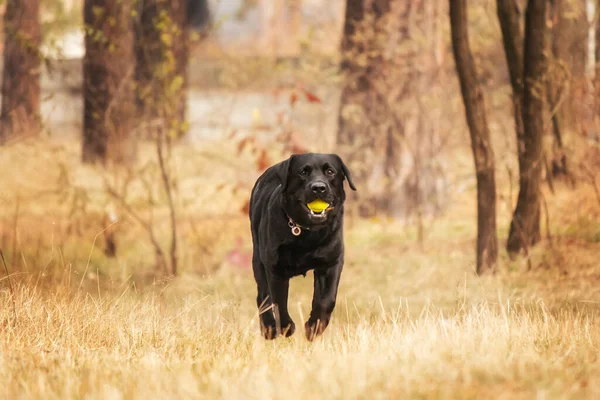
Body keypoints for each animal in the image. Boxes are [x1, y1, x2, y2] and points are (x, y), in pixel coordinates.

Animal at [250, 153, 356, 340]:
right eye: (303, 172)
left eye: (330, 171)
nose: (319, 188)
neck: (308, 233)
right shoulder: (275, 268)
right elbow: (279, 302)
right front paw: (287, 327)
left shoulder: (331, 263)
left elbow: (326, 300)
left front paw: (314, 327)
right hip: (258, 260)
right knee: (263, 296)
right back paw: (269, 329)